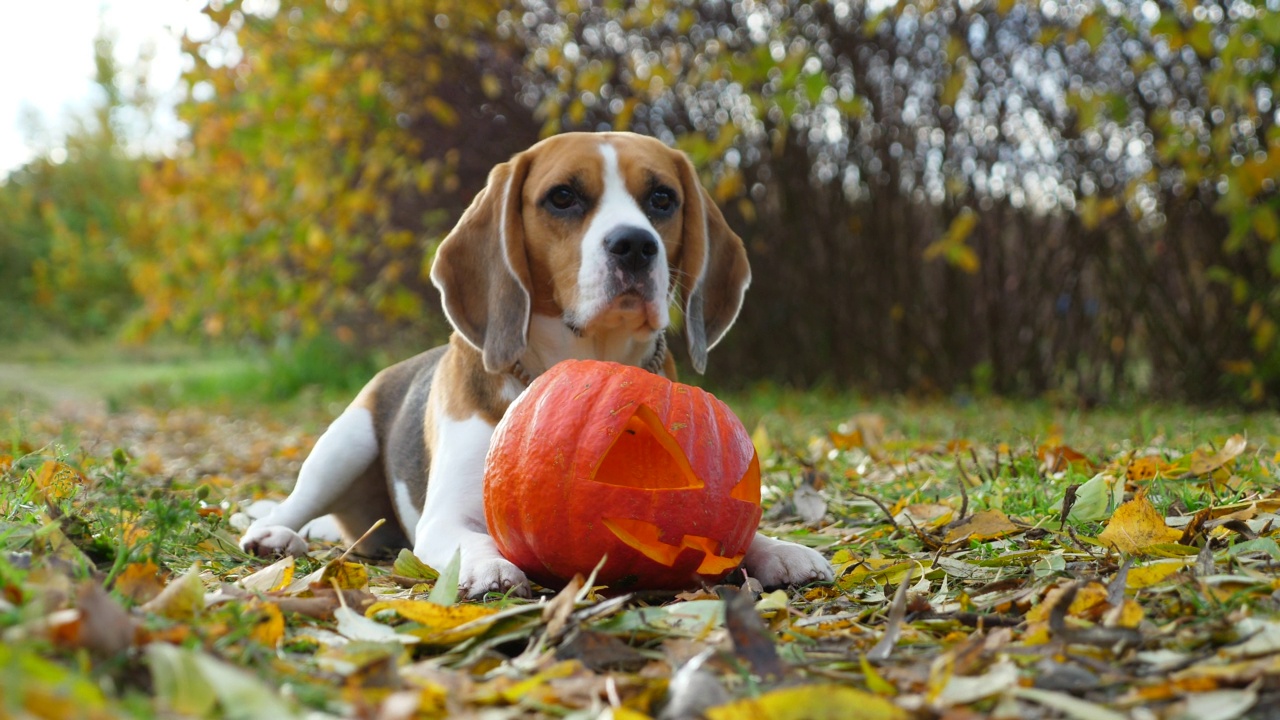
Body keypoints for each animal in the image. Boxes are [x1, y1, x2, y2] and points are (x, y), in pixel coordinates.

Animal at [239, 130, 834, 594]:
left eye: (663, 198)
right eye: (563, 197)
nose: (635, 245)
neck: (585, 357)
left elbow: (733, 532)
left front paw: (779, 548)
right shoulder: (445, 518)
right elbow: (472, 542)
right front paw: (488, 566)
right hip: (346, 442)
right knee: (296, 502)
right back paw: (274, 533)